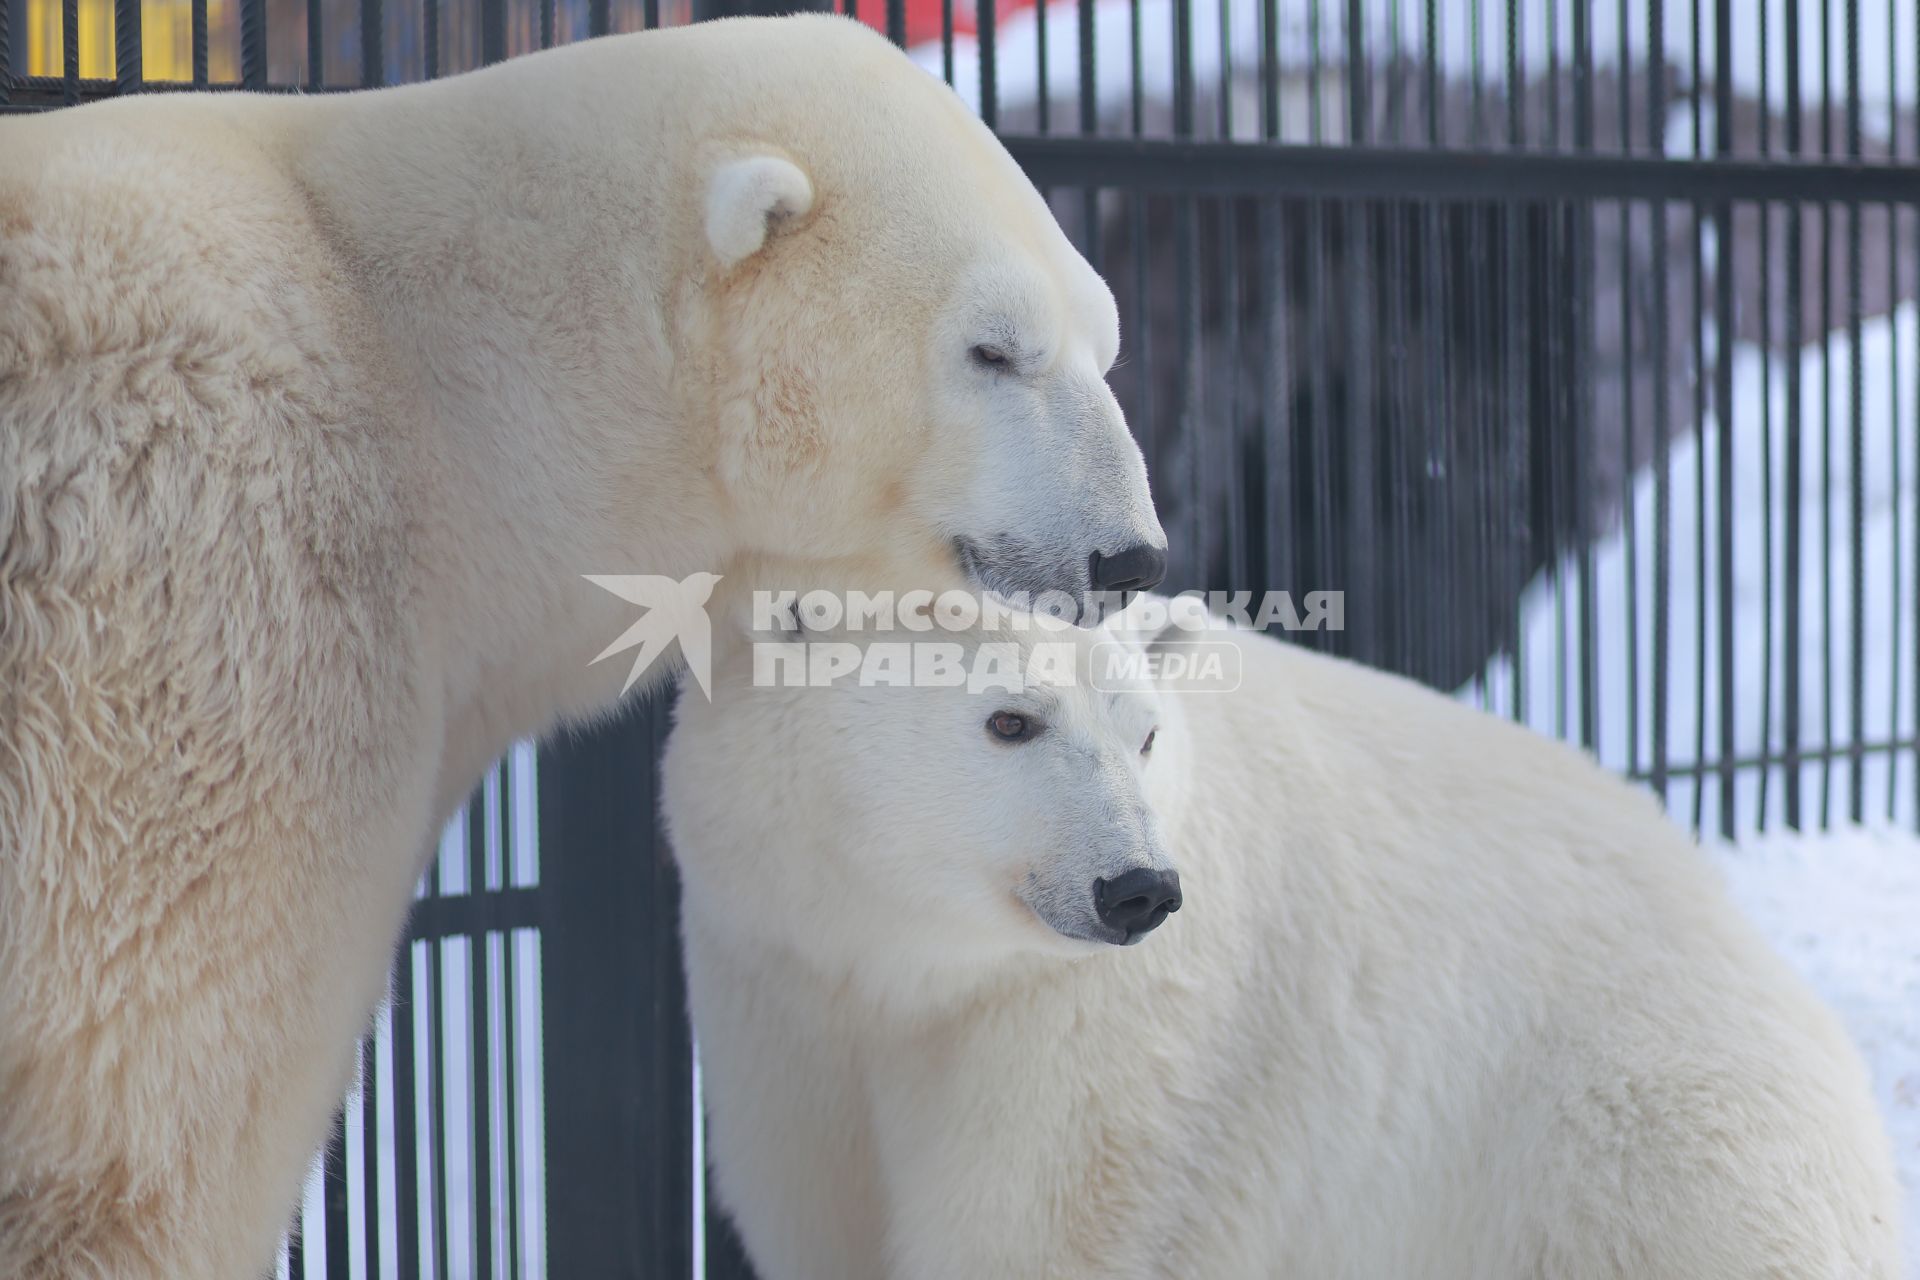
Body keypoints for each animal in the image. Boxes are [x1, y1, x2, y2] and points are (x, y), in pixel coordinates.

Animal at [664, 594, 1904, 1274]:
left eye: (1144, 731)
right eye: (1010, 719)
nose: (1138, 888)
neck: (912, 965)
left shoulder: (1095, 1037)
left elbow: (1037, 1229)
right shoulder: (777, 982)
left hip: (1626, 1138)